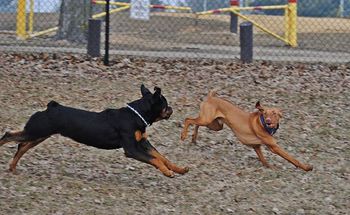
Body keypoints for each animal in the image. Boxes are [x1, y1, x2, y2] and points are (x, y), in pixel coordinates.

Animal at [0, 85, 189, 177]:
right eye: (165, 104)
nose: (172, 109)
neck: (137, 115)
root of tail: (50, 108)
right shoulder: (131, 149)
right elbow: (154, 159)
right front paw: (167, 173)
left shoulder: (143, 142)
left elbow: (161, 157)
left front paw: (178, 169)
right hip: (35, 132)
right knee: (9, 136)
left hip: (39, 135)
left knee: (21, 147)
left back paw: (12, 167)